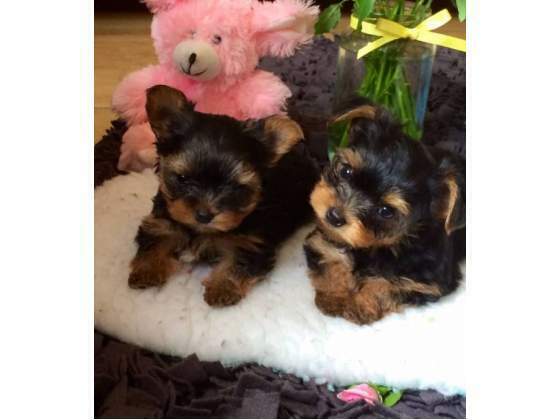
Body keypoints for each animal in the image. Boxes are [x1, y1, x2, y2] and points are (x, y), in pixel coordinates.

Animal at [128, 85, 320, 306]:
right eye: (182, 178)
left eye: (235, 187)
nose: (204, 215)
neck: (200, 230)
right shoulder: (162, 222)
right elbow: (155, 240)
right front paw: (147, 271)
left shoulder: (251, 242)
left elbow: (240, 261)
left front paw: (223, 288)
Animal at [304, 101, 466, 324]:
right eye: (346, 171)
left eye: (386, 211)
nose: (334, 216)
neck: (376, 246)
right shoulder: (322, 239)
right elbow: (331, 260)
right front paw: (334, 297)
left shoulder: (426, 282)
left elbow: (384, 285)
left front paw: (358, 305)